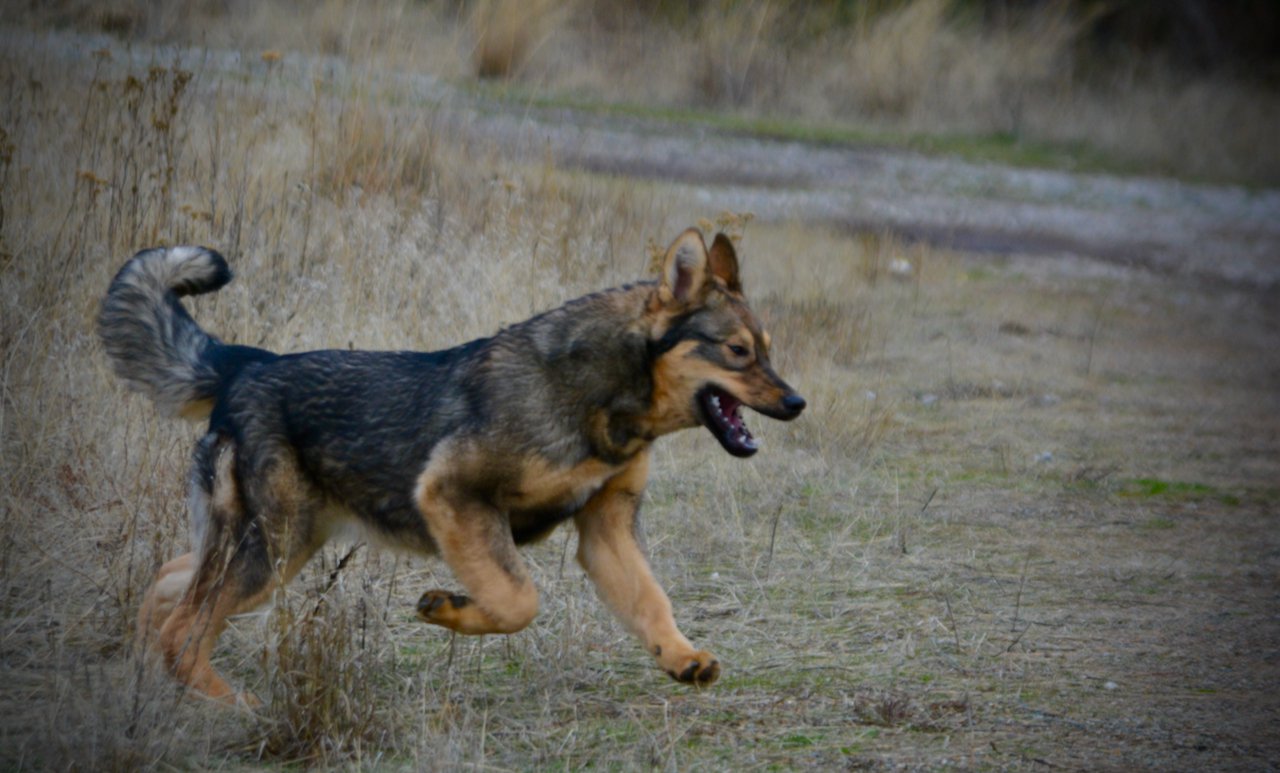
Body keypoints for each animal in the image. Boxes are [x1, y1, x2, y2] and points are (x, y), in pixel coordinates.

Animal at [102, 226, 798, 701]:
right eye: (737, 352)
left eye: (767, 350)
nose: (797, 403)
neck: (603, 394)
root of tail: (244, 363)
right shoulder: (453, 495)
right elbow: (517, 601)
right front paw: (448, 608)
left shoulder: (607, 531)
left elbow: (652, 603)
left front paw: (681, 658)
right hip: (268, 552)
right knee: (184, 629)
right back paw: (232, 707)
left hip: (271, 549)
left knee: (167, 589)